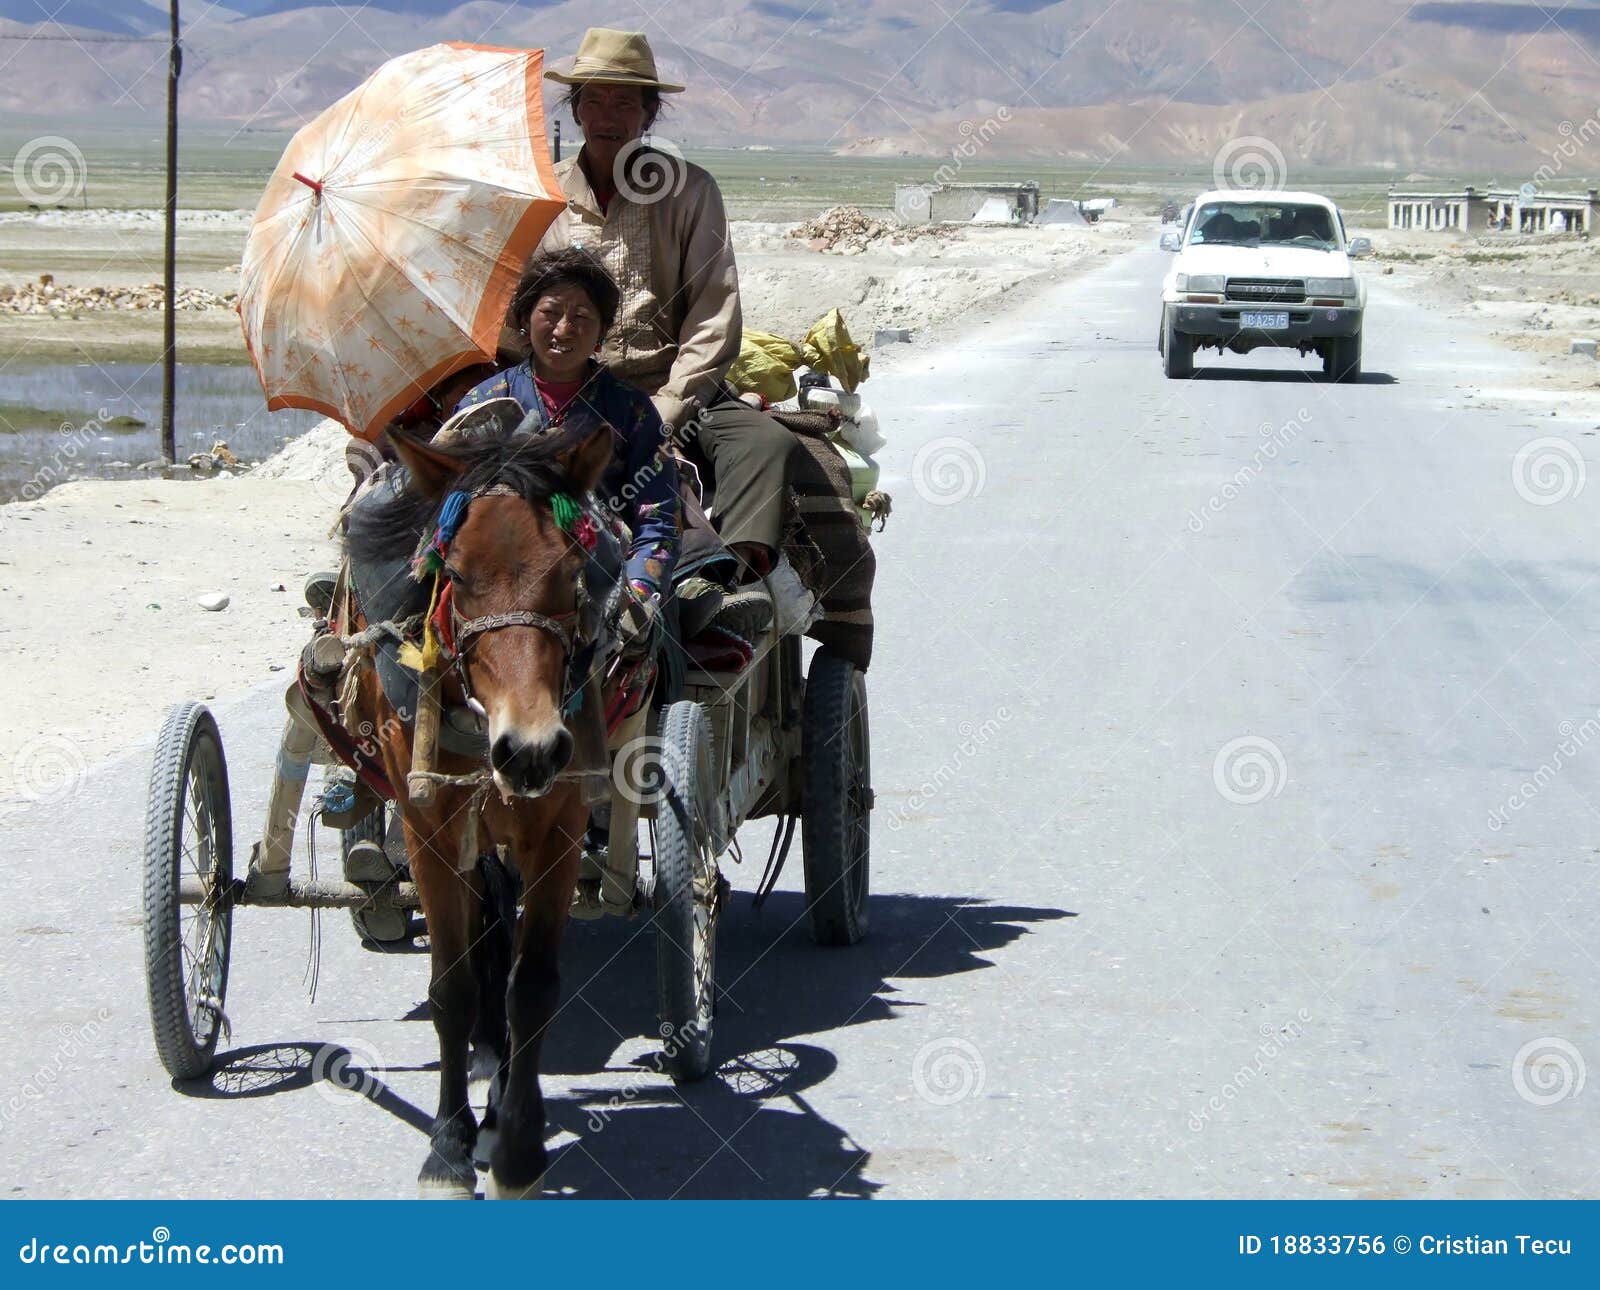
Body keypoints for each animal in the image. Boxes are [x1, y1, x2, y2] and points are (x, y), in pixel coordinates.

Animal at [344, 425, 611, 1203]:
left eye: (572, 570)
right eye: (457, 576)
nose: (528, 748)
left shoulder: (558, 824)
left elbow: (534, 987)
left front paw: (519, 1149)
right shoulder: (426, 826)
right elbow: (452, 987)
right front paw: (449, 1146)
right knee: (485, 930)